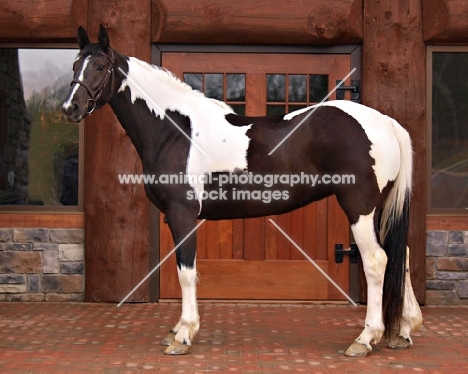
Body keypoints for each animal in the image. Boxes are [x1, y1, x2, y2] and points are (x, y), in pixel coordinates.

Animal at [60, 26, 422, 356]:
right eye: (75, 63)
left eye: (101, 66)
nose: (70, 108)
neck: (176, 131)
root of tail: (387, 123)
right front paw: (177, 330)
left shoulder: (182, 214)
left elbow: (186, 272)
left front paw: (184, 334)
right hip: (380, 209)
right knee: (400, 255)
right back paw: (403, 331)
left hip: (359, 207)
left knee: (376, 260)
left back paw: (365, 338)